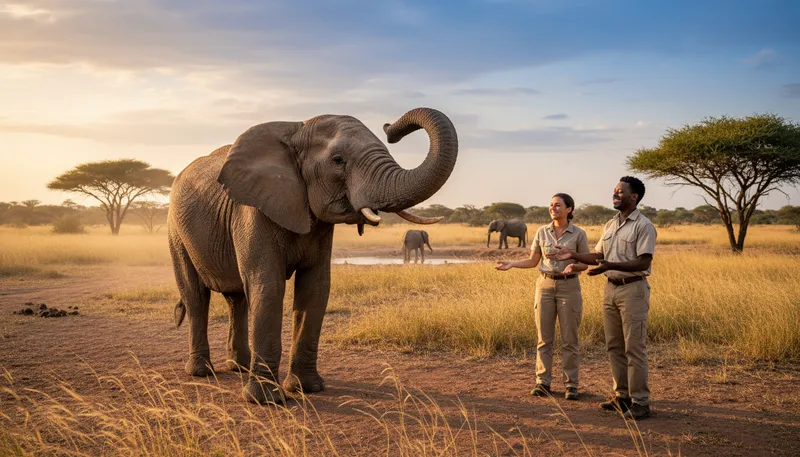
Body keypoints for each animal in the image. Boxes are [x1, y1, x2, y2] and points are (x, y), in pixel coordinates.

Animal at [168, 107, 458, 404]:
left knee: (236, 299)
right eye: (338, 160)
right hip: (176, 231)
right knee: (195, 295)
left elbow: (315, 288)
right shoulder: (253, 211)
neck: (297, 130)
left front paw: (307, 388)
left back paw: (240, 368)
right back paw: (201, 372)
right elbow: (268, 286)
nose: (390, 127)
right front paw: (266, 400)